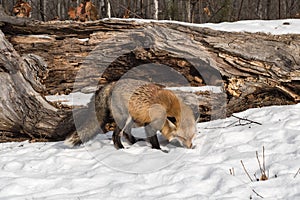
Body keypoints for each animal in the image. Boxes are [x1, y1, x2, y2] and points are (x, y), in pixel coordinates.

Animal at [65, 79, 197, 149]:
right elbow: (154, 141)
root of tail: (112, 84)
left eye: (192, 137)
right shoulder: (150, 124)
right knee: (116, 135)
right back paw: (121, 149)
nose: (191, 147)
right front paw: (159, 151)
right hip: (124, 118)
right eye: (182, 137)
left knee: (126, 133)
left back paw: (135, 143)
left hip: (131, 118)